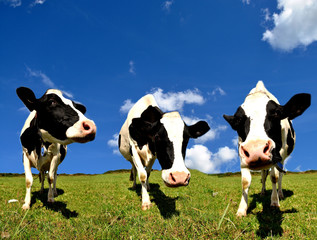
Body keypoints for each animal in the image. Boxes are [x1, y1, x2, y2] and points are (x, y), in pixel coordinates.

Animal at [223, 81, 310, 217]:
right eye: (238, 120)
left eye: (276, 113)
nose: (256, 150)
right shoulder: (242, 153)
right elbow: (245, 181)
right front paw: (242, 209)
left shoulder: (278, 154)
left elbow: (274, 177)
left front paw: (274, 201)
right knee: (264, 174)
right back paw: (263, 191)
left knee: (280, 175)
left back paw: (280, 194)